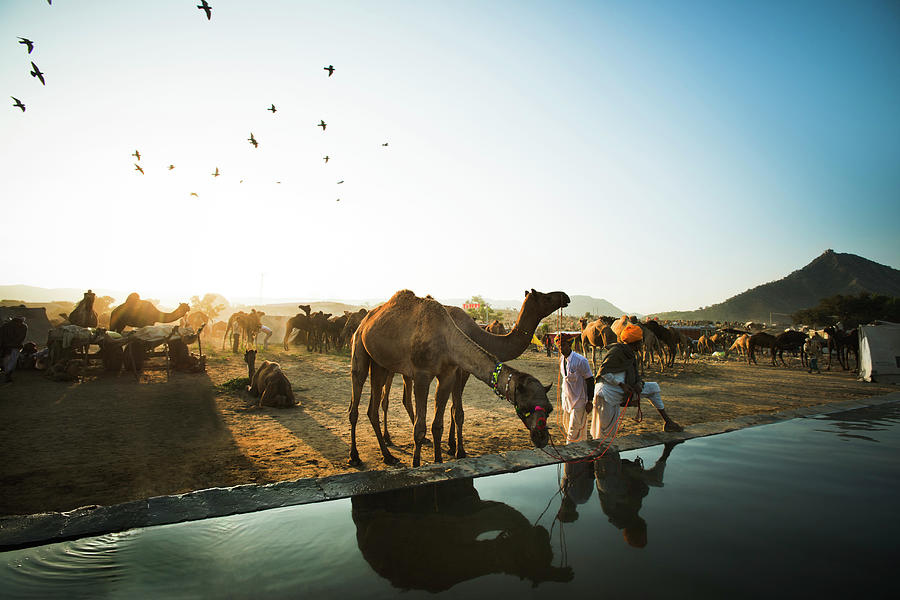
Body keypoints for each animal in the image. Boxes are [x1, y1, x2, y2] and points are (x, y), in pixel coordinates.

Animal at [350, 290, 556, 468]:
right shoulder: (423, 375)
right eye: (526, 407)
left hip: (381, 364)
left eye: (549, 409)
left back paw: (388, 455)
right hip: (359, 346)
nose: (542, 437)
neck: (448, 337)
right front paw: (420, 464)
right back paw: (356, 457)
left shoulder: (448, 374)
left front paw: (441, 459)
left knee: (374, 408)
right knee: (357, 398)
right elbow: (423, 426)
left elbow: (439, 423)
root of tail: (366, 320)